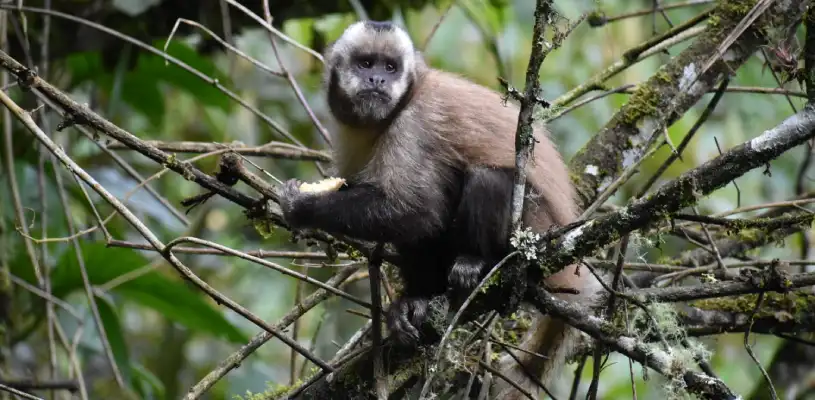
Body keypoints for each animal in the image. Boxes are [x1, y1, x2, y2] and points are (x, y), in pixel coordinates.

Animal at [278, 20, 602, 398]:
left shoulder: (412, 125)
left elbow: (418, 211)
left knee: (484, 178)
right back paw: (417, 299)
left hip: (537, 229)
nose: (377, 80)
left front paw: (303, 206)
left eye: (390, 67)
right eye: (366, 63)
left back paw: (477, 262)